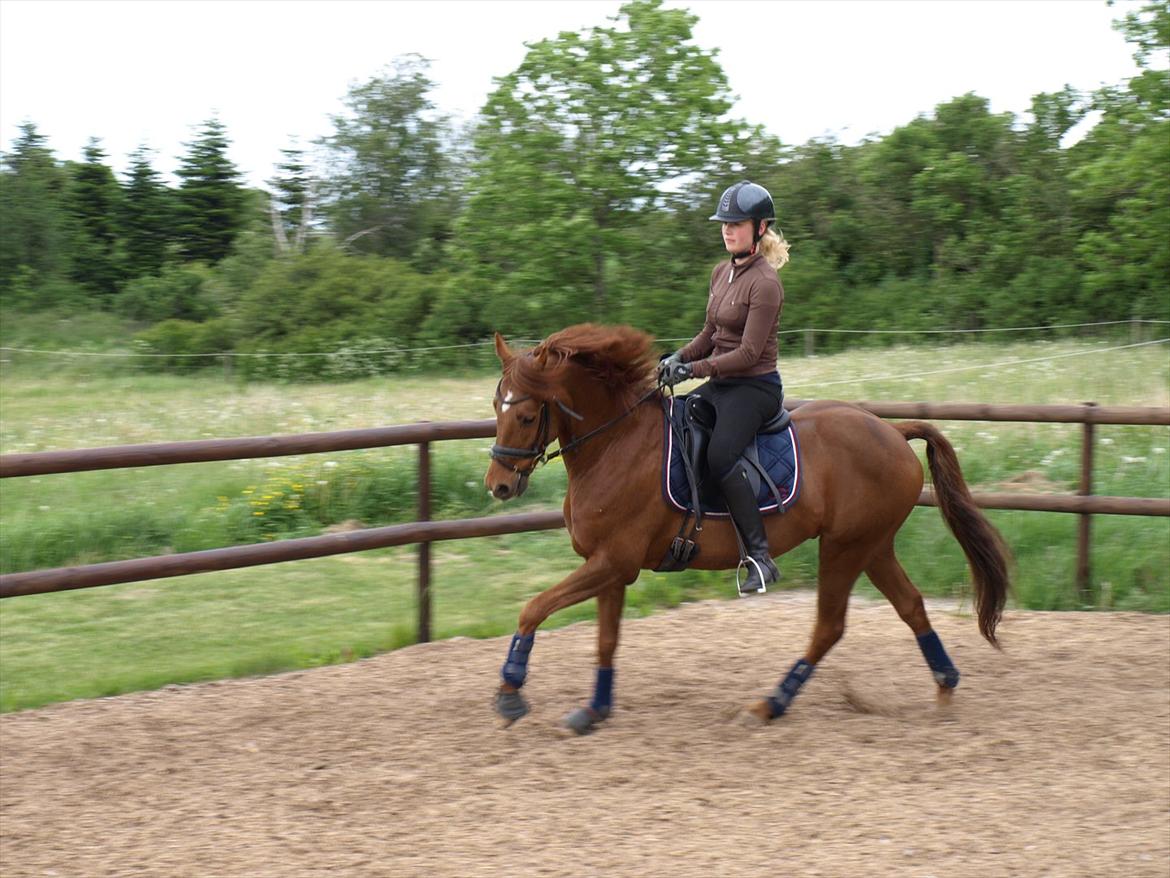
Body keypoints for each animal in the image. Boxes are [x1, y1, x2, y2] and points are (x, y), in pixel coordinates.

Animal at [484, 323, 1010, 734]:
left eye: (527, 415)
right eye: (495, 406)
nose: (499, 486)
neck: (615, 444)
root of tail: (892, 431)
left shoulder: (613, 561)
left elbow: (534, 609)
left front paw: (510, 692)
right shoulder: (610, 567)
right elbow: (605, 639)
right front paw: (594, 711)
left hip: (845, 547)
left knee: (830, 626)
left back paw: (769, 705)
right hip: (873, 546)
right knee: (911, 607)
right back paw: (944, 687)